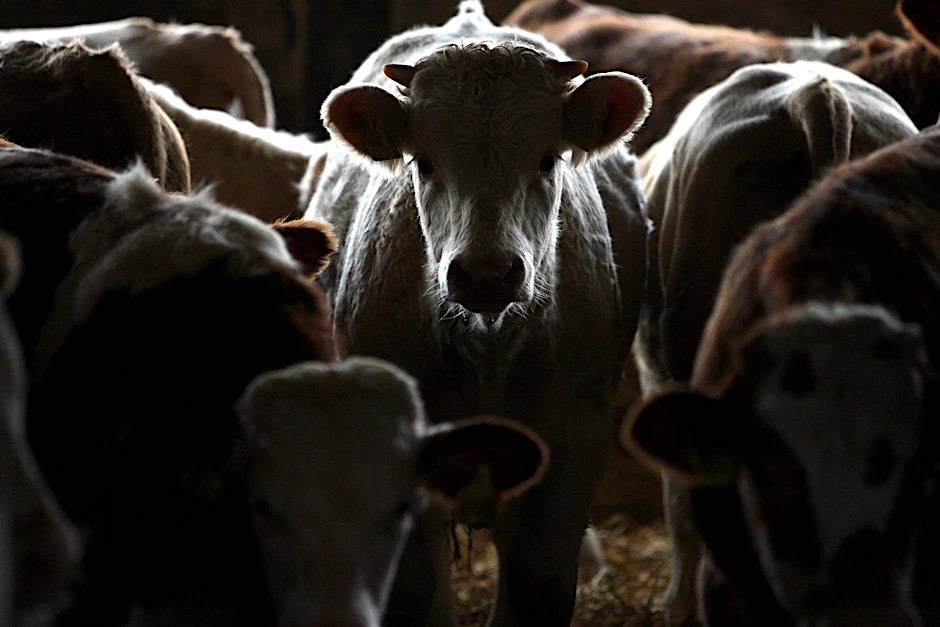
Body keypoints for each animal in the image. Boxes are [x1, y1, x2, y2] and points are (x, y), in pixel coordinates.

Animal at [303, 1, 652, 625]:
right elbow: (417, 591)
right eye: (423, 162)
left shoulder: (576, 440)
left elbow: (537, 581)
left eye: (548, 159)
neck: (489, 345)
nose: (486, 272)